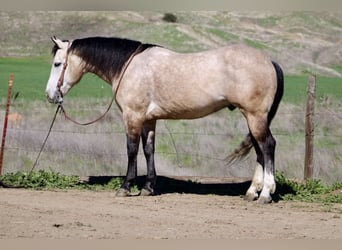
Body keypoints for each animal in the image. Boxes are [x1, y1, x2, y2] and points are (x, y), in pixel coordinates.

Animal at [46, 36, 284, 204]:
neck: (129, 67)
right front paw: (148, 188)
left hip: (255, 116)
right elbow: (148, 150)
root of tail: (269, 61)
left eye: (58, 64)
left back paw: (265, 194)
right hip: (252, 118)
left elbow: (131, 150)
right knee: (259, 150)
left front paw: (125, 187)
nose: (50, 95)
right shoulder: (148, 120)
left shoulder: (132, 117)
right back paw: (251, 192)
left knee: (268, 146)